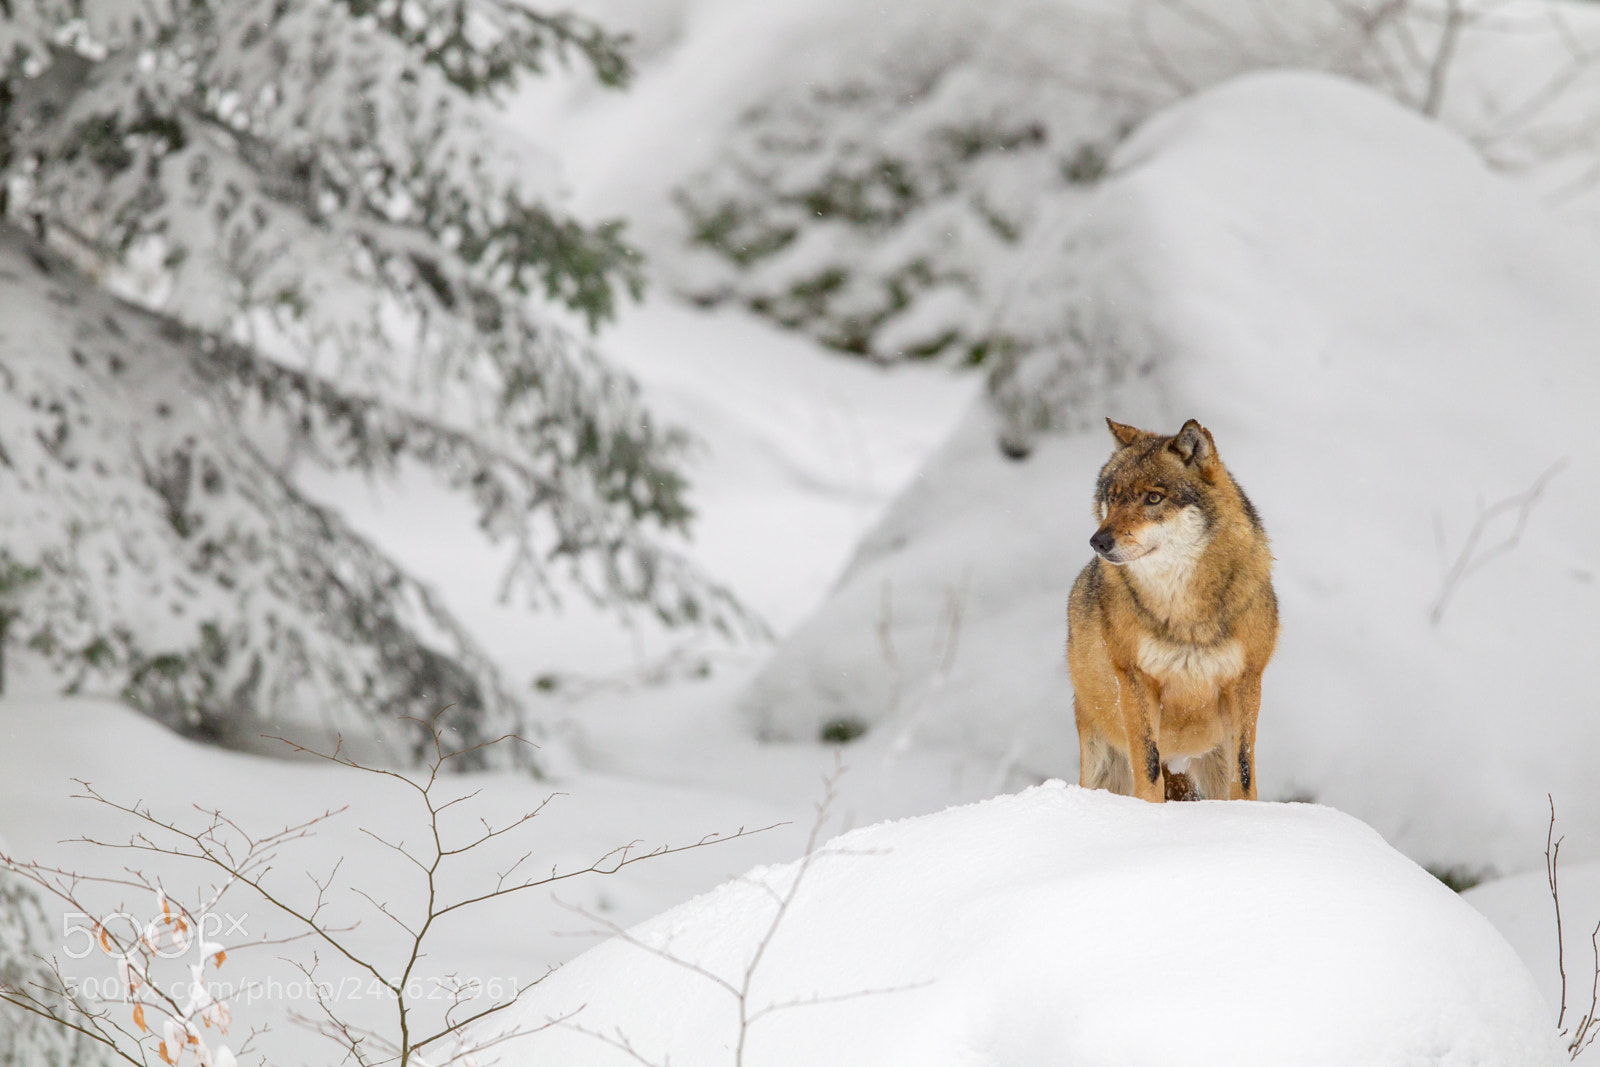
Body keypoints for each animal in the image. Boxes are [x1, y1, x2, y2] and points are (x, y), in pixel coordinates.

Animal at [1066, 418, 1278, 802]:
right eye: (1113, 497)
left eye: (1153, 498)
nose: (1098, 541)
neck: (1185, 615)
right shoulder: (1135, 679)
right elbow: (1148, 767)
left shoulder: (1246, 680)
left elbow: (1244, 772)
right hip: (1100, 760)